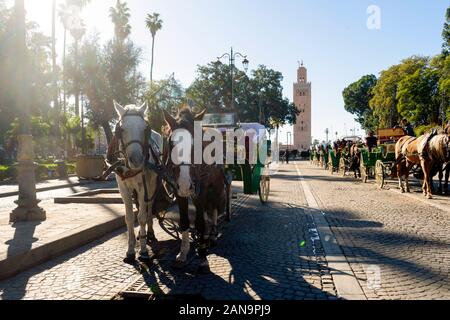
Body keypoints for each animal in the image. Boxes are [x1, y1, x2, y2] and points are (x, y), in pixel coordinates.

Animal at [111, 101, 163, 264]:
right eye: (121, 129)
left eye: (145, 129)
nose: (137, 160)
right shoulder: (123, 188)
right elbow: (129, 218)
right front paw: (130, 250)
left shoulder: (143, 187)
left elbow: (141, 217)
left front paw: (143, 251)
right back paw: (142, 233)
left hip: (151, 185)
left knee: (148, 207)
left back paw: (149, 232)